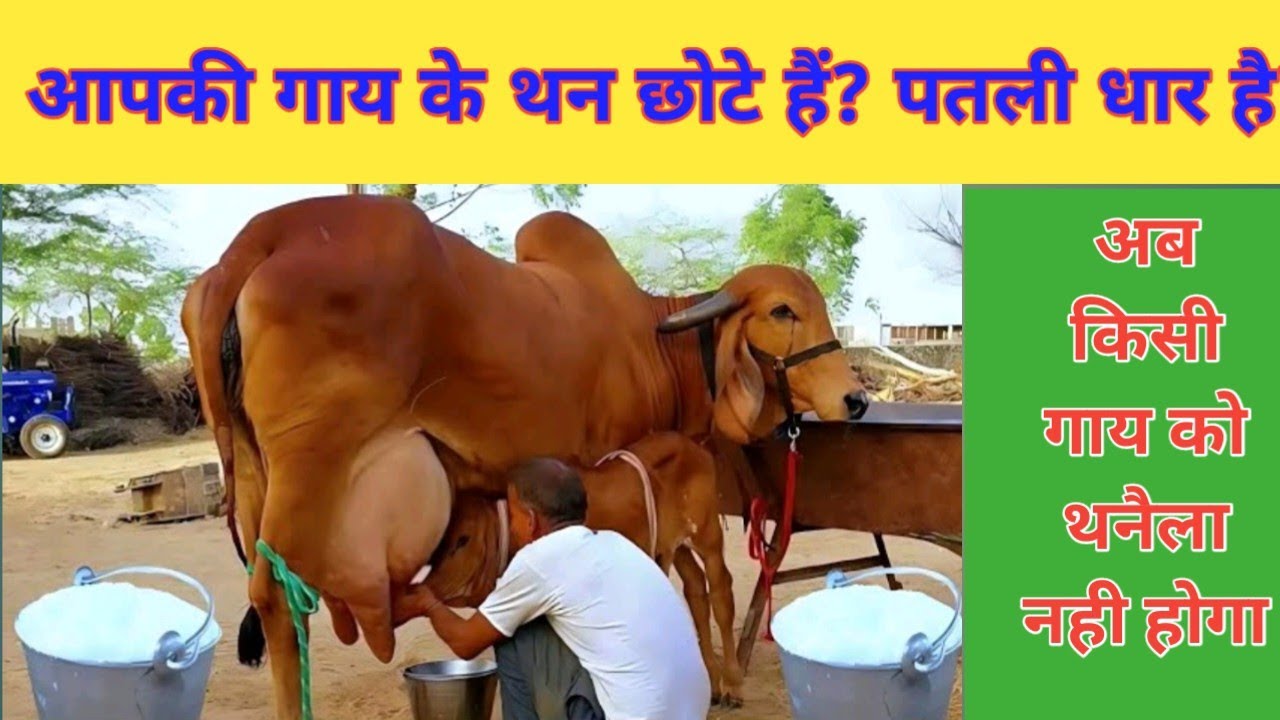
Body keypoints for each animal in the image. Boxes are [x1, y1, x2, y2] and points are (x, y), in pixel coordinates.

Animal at [181, 194, 867, 719]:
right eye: (783, 310)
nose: (856, 398)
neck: (652, 339)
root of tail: (261, 237)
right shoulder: (623, 466)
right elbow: (682, 580)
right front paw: (726, 682)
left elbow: (694, 586)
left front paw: (712, 675)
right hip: (310, 471)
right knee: (278, 599)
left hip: (254, 476)